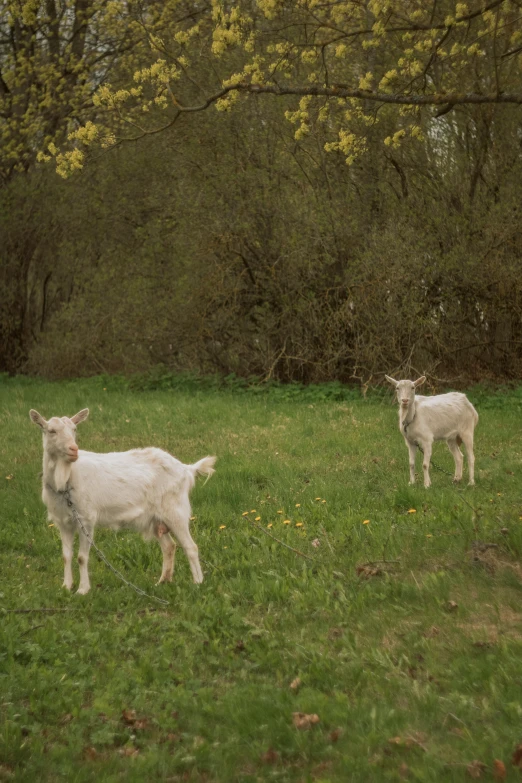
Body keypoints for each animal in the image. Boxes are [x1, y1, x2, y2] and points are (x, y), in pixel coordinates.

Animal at [29, 410, 216, 596]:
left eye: (74, 429)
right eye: (51, 431)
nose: (73, 450)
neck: (66, 480)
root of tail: (186, 469)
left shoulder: (86, 519)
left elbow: (82, 558)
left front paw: (82, 590)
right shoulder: (63, 522)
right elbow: (66, 556)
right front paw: (66, 586)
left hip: (175, 511)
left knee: (190, 547)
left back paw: (198, 583)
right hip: (155, 519)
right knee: (169, 546)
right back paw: (162, 581)